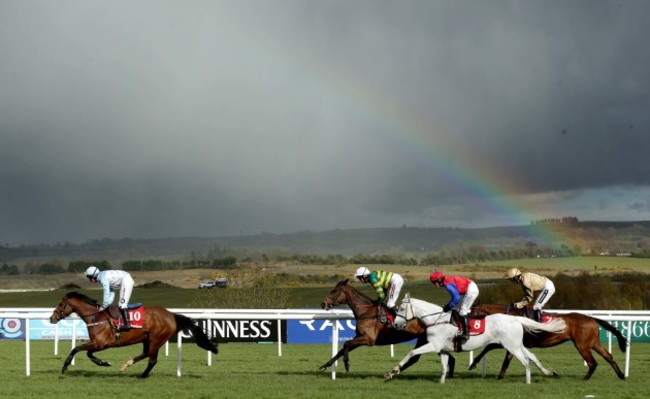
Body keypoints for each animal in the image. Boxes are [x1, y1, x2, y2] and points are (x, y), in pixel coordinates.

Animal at [50, 292, 218, 380]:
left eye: (61, 304)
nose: (52, 318)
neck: (96, 318)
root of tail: (171, 315)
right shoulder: (99, 344)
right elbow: (88, 354)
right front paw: (104, 363)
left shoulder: (100, 343)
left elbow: (77, 349)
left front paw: (65, 367)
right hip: (146, 339)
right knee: (146, 354)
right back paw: (126, 365)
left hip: (156, 339)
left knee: (152, 359)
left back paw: (142, 375)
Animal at [316, 280, 454, 376]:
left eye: (334, 291)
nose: (323, 303)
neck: (366, 312)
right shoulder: (360, 337)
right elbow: (342, 349)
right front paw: (325, 365)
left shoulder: (368, 339)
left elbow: (346, 344)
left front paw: (346, 364)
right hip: (425, 340)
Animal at [382, 296, 564, 386]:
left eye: (402, 308)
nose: (395, 324)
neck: (436, 320)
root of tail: (516, 319)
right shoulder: (443, 349)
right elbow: (444, 366)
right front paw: (442, 383)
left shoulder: (434, 345)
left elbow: (411, 352)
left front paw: (391, 372)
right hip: (517, 344)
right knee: (532, 357)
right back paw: (548, 373)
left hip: (511, 346)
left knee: (526, 361)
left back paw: (527, 382)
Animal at [468, 304, 624, 382]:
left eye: (470, 311)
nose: (467, 323)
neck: (509, 317)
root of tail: (591, 318)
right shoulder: (511, 343)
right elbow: (505, 360)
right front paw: (499, 376)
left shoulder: (509, 341)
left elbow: (490, 347)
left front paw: (474, 363)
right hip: (593, 343)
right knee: (609, 357)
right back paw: (621, 375)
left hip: (582, 345)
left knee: (592, 362)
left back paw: (585, 379)